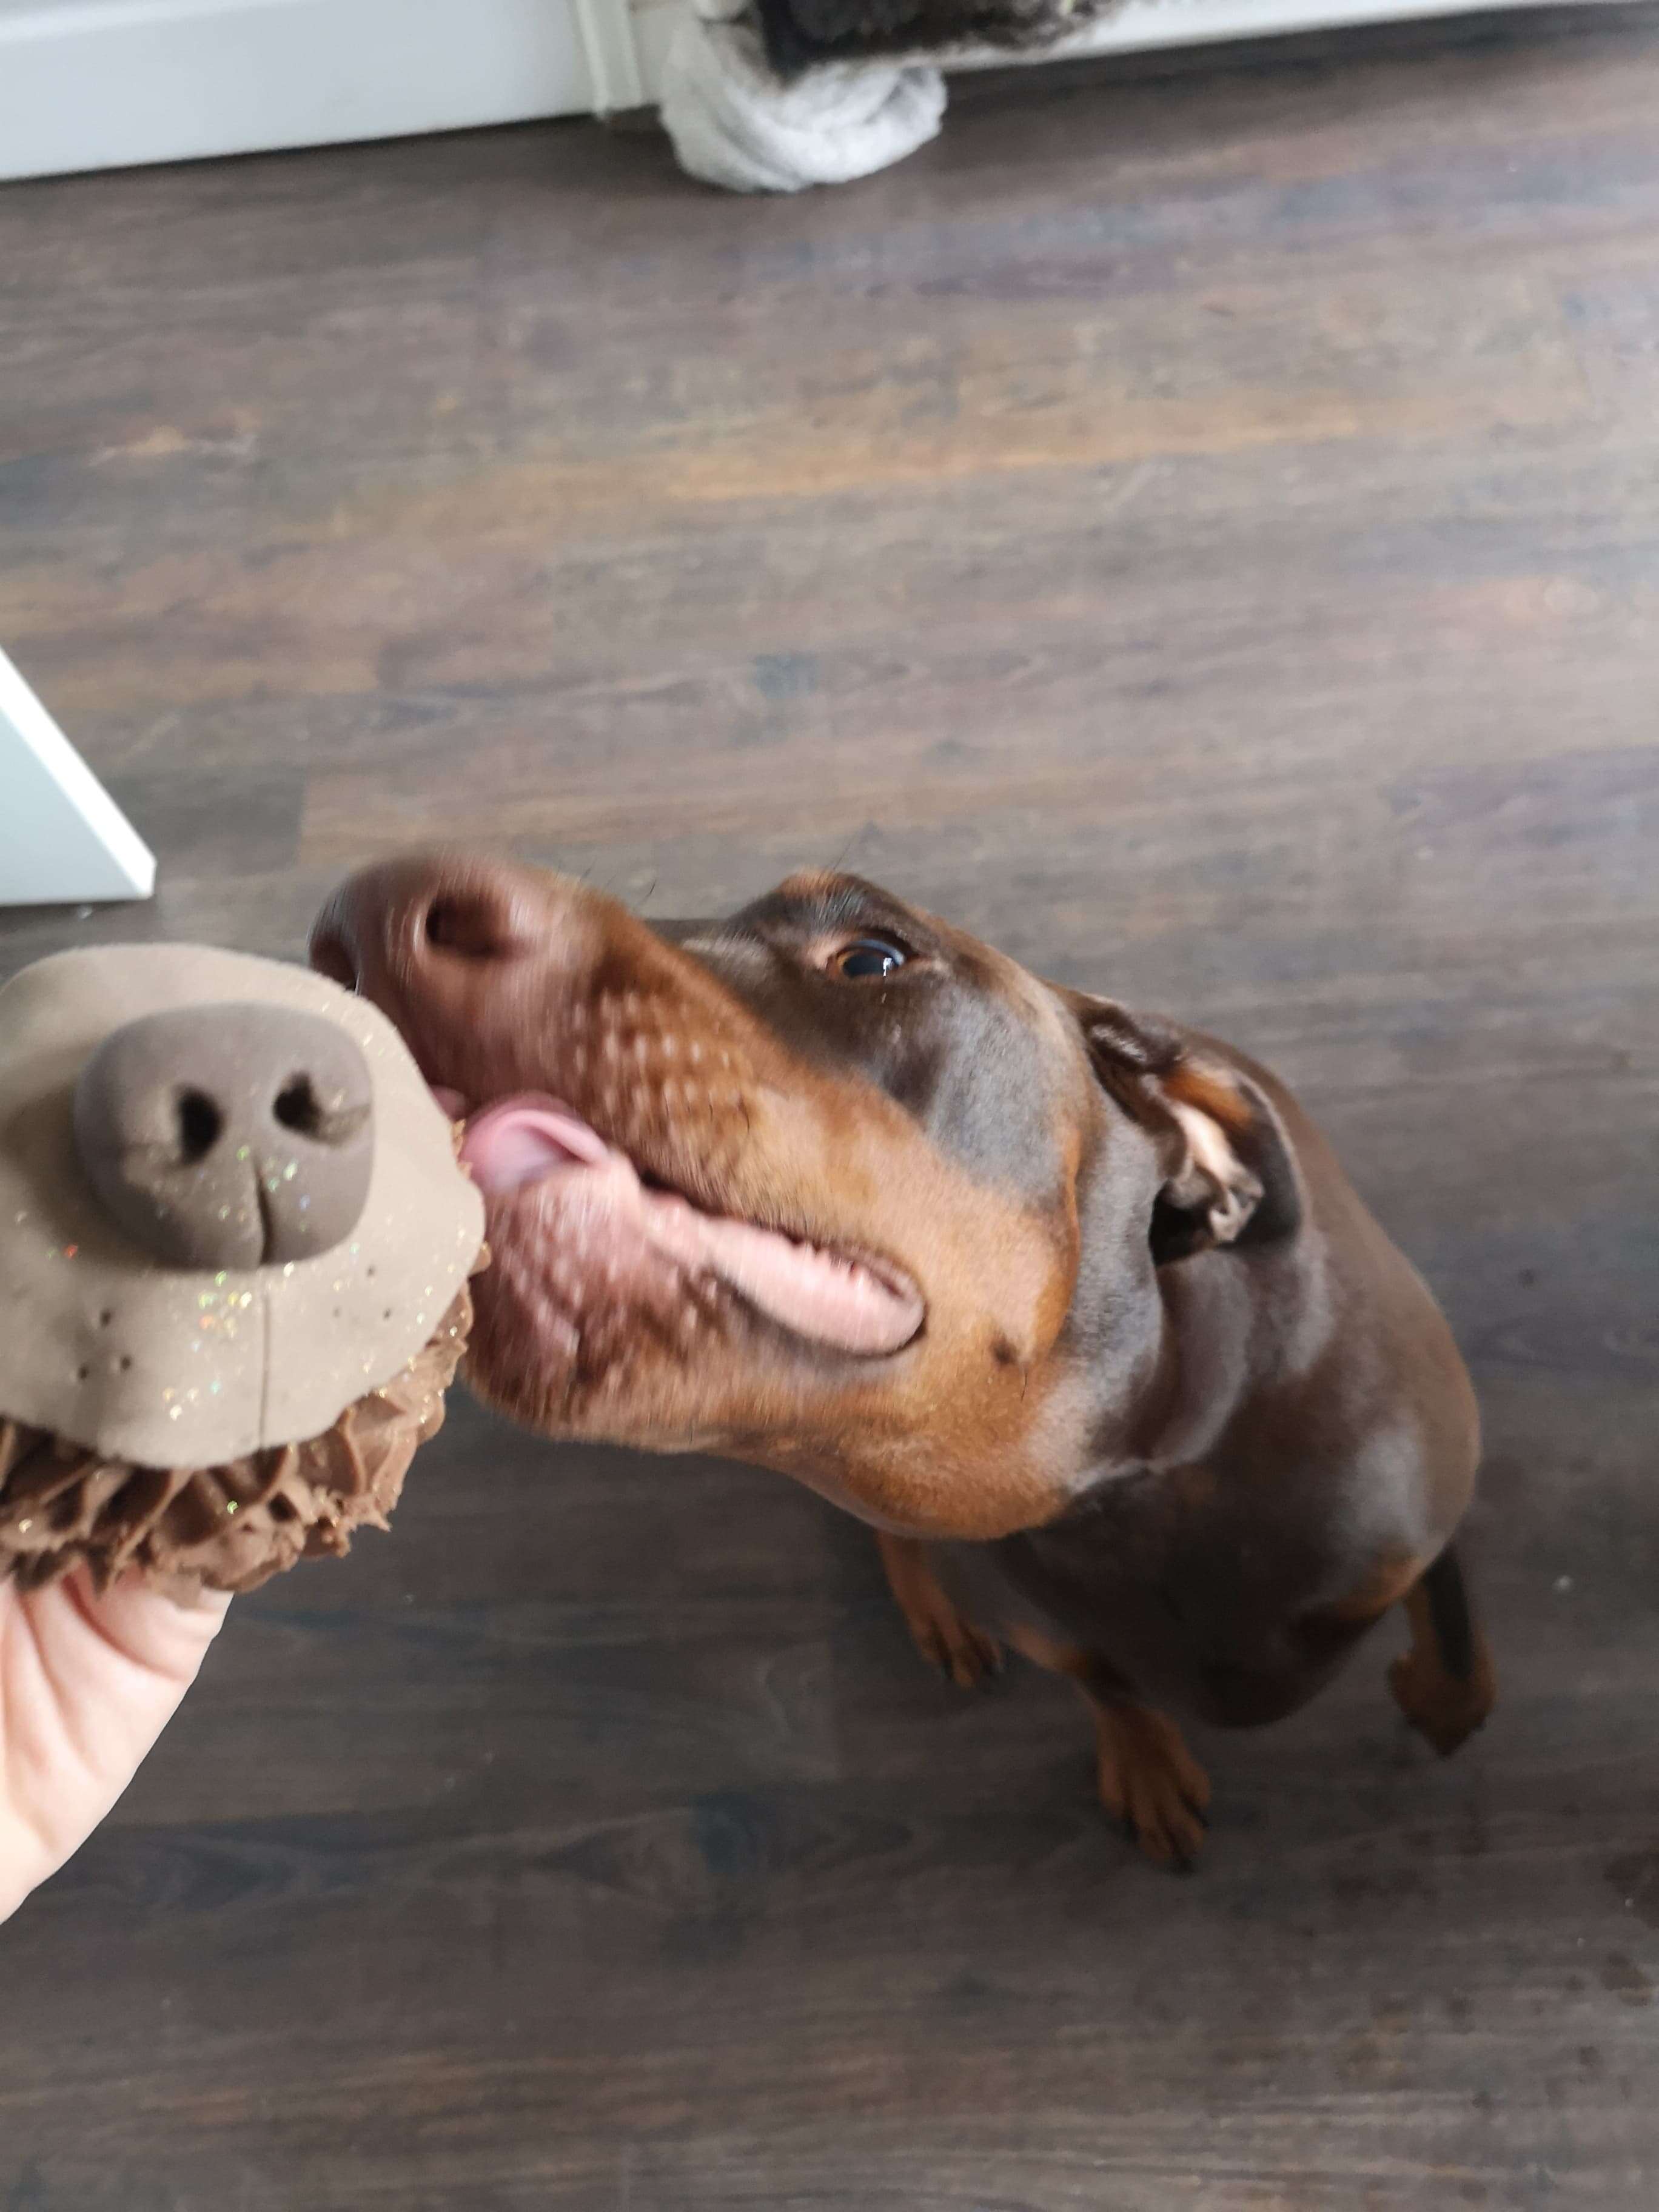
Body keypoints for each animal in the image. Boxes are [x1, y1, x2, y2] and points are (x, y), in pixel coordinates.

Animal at [314, 854, 1504, 1858]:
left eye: (873, 958)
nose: (357, 931)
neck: (1134, 1484)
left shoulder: (1415, 1522)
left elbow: (1450, 1642)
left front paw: (1435, 1696)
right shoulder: (1053, 1621)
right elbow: (1109, 1687)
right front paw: (1146, 1762)